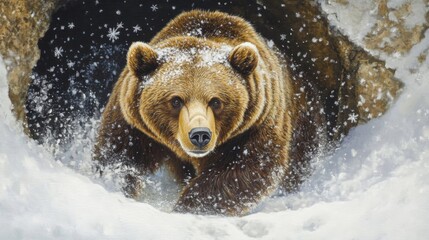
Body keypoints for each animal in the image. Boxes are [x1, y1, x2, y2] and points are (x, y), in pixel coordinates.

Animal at [92, 9, 322, 216]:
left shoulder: (255, 123)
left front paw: (187, 207)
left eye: (216, 101)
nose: (200, 134)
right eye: (176, 100)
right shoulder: (133, 122)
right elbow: (120, 155)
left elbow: (244, 169)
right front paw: (115, 187)